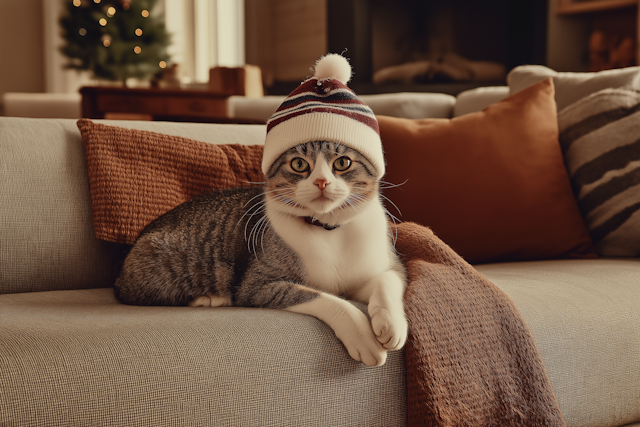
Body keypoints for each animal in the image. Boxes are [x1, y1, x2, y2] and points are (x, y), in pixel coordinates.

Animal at [115, 141, 408, 368]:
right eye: (299, 164)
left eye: (343, 162)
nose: (322, 182)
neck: (328, 230)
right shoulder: (257, 285)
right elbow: (329, 300)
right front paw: (363, 335)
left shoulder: (378, 270)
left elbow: (388, 280)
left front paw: (392, 323)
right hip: (162, 265)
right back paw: (209, 298)